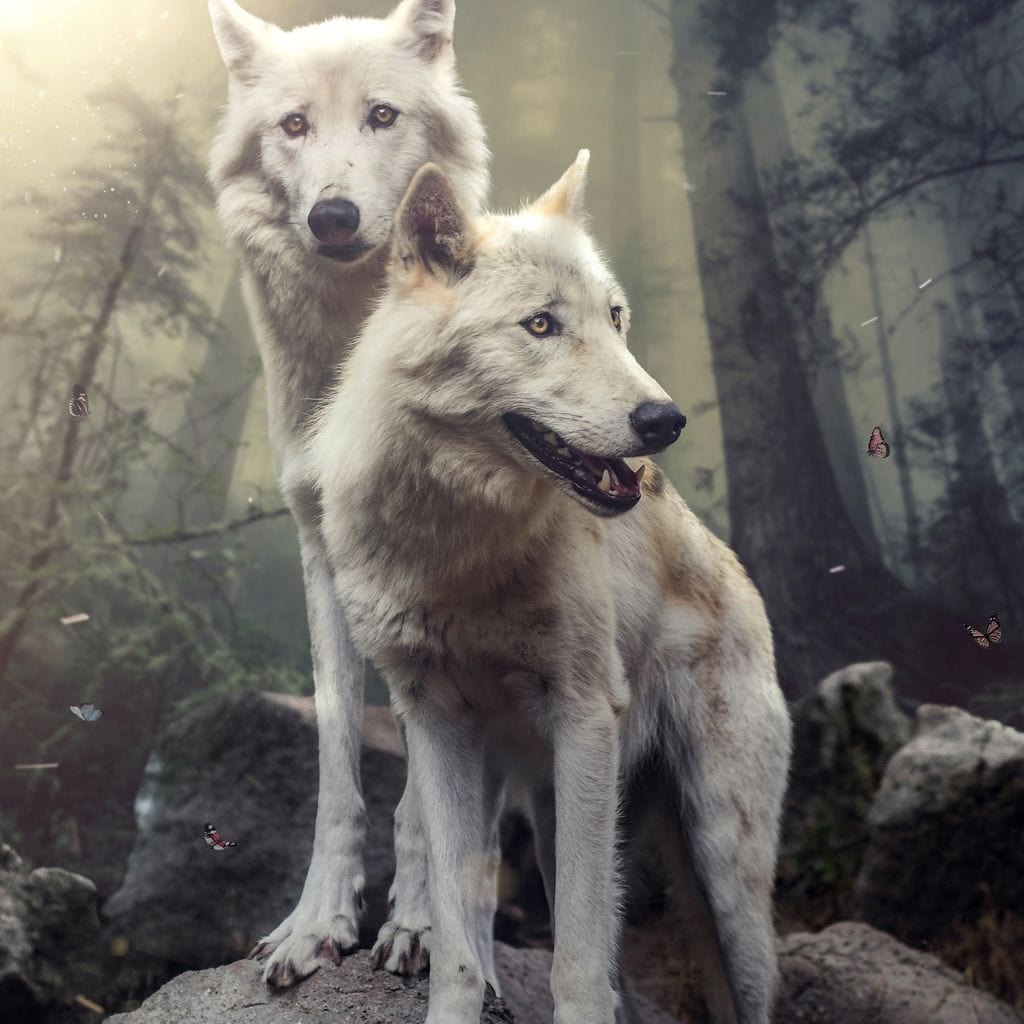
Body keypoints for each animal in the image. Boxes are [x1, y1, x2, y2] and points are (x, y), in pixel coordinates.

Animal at [207, 0, 489, 989]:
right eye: (295, 124)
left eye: (381, 115)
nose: (333, 216)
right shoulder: (323, 555)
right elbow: (337, 765)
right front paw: (315, 924)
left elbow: (427, 787)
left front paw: (422, 926)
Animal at [310, 152, 793, 1024]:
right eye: (541, 326)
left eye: (615, 318)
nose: (664, 420)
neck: (460, 553)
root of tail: (734, 567)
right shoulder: (434, 724)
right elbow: (457, 942)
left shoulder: (584, 718)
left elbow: (576, 957)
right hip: (547, 806)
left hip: (721, 869)